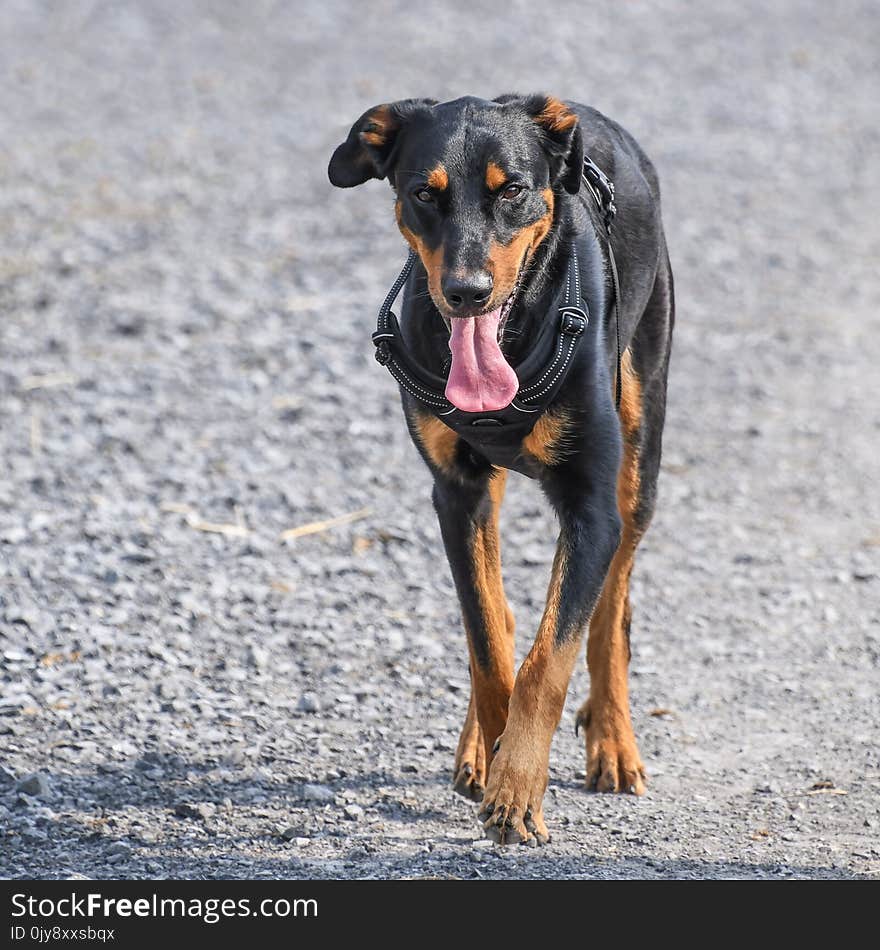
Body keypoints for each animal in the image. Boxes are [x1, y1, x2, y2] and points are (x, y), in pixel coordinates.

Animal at [328, 93, 672, 844]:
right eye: (423, 194)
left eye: (510, 190)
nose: (466, 292)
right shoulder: (457, 494)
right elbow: (488, 637)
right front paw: (493, 757)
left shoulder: (591, 505)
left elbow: (551, 660)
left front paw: (517, 792)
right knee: (504, 613)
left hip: (640, 458)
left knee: (611, 614)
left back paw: (613, 740)